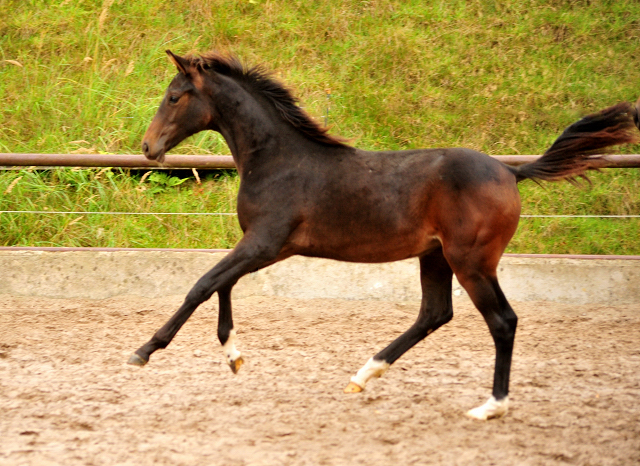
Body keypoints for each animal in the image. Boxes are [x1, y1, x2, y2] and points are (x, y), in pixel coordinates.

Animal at [131, 50, 640, 418]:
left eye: (174, 97)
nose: (148, 147)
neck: (278, 160)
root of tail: (511, 172)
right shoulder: (263, 246)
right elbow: (223, 286)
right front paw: (233, 356)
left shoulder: (265, 242)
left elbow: (203, 285)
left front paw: (144, 350)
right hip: (436, 256)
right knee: (435, 313)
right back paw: (363, 375)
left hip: (472, 261)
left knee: (502, 321)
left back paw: (491, 406)